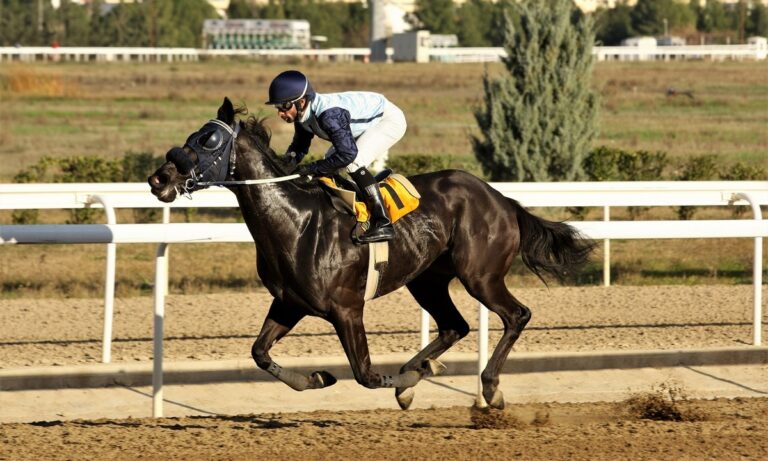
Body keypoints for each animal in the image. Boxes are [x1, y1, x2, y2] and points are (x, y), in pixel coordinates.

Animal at [150, 98, 592, 410]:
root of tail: (502, 200)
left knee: (516, 315)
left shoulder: (347, 309)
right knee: (455, 326)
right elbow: (259, 353)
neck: (296, 223)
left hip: (480, 276)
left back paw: (488, 387)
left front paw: (406, 382)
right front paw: (318, 379)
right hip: (427, 280)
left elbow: (365, 374)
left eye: (208, 140)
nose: (159, 178)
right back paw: (422, 369)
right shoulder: (289, 303)